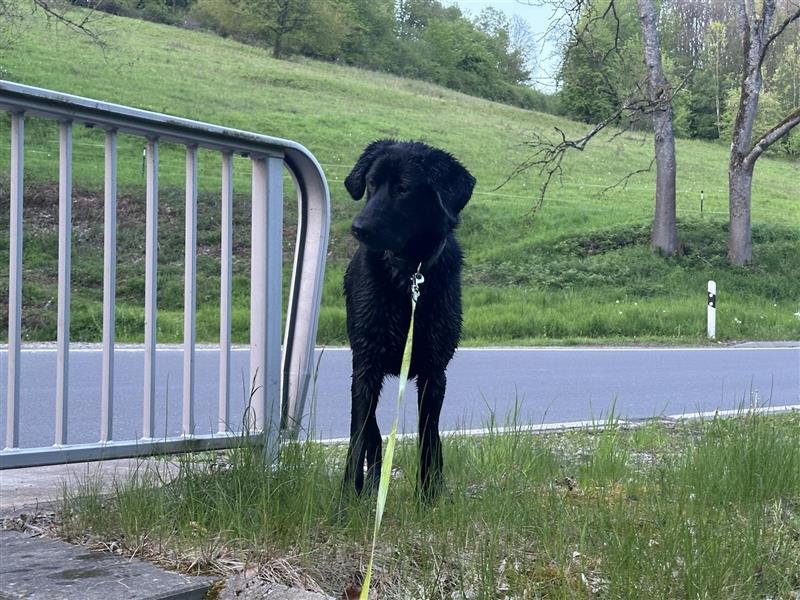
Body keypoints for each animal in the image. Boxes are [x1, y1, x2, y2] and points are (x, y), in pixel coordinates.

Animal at [340, 141, 476, 502]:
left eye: (403, 189)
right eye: (371, 184)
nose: (358, 228)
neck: (408, 275)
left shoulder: (434, 374)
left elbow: (429, 441)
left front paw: (427, 499)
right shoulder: (365, 370)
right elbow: (358, 439)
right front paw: (347, 500)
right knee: (371, 436)